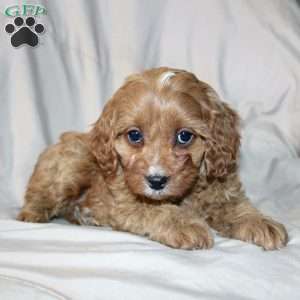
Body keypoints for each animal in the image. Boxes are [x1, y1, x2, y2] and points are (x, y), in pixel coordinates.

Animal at [18, 67, 288, 250]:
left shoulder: (222, 189)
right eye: (134, 135)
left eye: (184, 136)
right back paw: (33, 215)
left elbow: (238, 207)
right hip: (72, 164)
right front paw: (185, 224)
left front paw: (261, 223)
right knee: (40, 197)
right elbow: (159, 210)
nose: (156, 181)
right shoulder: (125, 201)